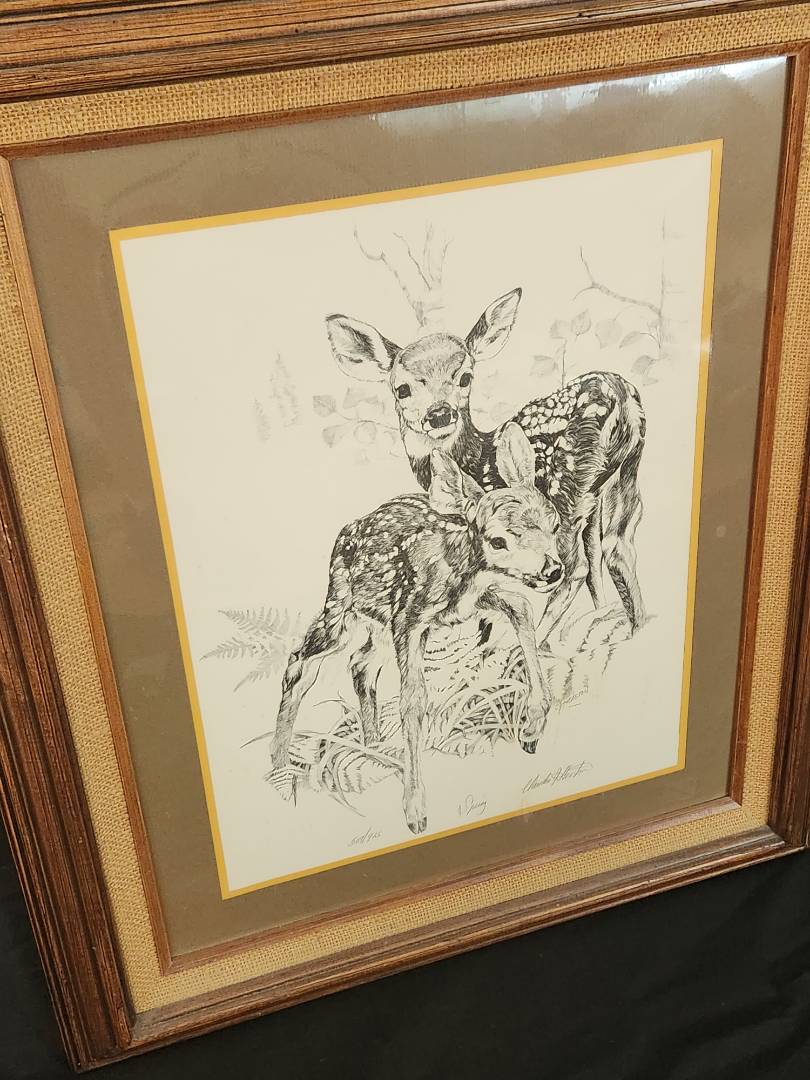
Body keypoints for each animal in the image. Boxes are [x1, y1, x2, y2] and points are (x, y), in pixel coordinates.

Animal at [270, 424, 566, 835]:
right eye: (498, 540)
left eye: (554, 523)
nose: (552, 570)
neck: (458, 568)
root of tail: (344, 533)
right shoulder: (408, 618)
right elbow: (412, 700)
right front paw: (415, 811)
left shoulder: (473, 601)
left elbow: (522, 610)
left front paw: (532, 729)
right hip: (340, 609)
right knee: (301, 659)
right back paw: (280, 766)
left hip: (377, 624)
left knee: (360, 664)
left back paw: (373, 747)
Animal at [326, 233, 646, 640]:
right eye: (402, 389)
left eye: (464, 377)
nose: (440, 414)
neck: (477, 459)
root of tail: (622, 396)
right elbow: (596, 571)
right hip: (621, 477)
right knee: (616, 549)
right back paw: (634, 630)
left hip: (567, 486)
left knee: (575, 568)